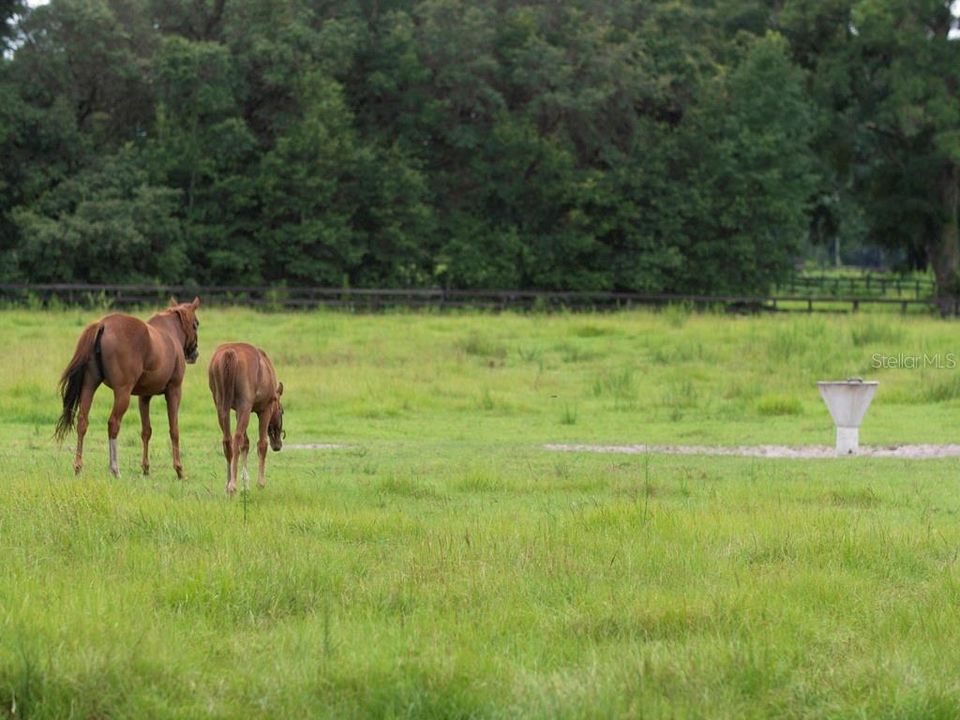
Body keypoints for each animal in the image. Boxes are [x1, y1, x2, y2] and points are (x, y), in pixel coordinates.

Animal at [55, 298, 202, 478]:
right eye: (196, 324)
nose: (195, 353)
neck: (170, 334)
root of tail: (103, 325)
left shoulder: (144, 397)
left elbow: (146, 431)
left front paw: (146, 468)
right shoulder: (174, 391)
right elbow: (174, 430)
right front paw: (179, 469)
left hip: (89, 386)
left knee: (82, 422)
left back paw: (78, 466)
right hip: (122, 393)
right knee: (113, 424)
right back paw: (114, 468)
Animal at [208, 344, 284, 496]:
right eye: (282, 411)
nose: (278, 445)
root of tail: (229, 353)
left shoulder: (238, 411)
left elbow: (245, 444)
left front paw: (245, 484)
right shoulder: (264, 410)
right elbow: (261, 444)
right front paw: (260, 483)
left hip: (221, 406)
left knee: (228, 440)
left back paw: (229, 483)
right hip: (245, 407)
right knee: (236, 438)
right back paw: (232, 485)